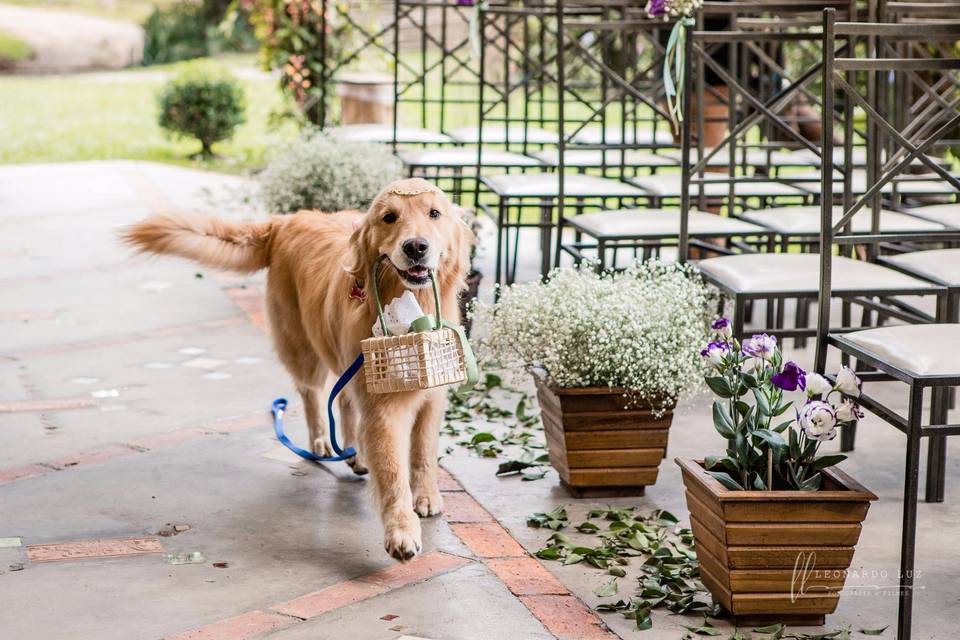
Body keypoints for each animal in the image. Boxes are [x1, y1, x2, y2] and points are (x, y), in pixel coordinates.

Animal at [125, 176, 470, 560]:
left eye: (434, 213)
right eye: (389, 217)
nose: (416, 247)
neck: (408, 301)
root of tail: (284, 221)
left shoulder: (432, 396)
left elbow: (423, 451)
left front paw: (426, 497)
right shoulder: (383, 408)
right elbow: (393, 471)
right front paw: (402, 533)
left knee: (345, 401)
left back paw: (355, 452)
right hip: (304, 347)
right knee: (312, 394)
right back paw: (321, 442)